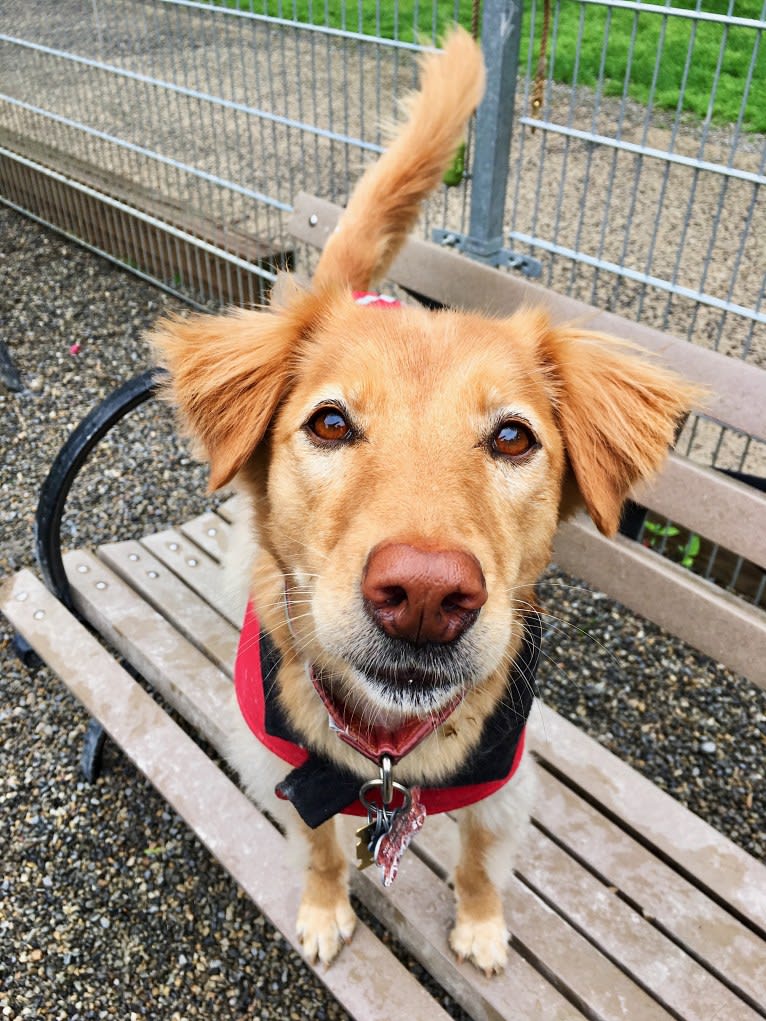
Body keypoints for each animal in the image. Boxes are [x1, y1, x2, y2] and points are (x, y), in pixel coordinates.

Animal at [151, 27, 702, 971]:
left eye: (513, 437)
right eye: (331, 423)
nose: (423, 594)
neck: (387, 754)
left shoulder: (504, 784)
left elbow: (480, 861)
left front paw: (480, 926)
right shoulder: (292, 776)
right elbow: (322, 848)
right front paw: (324, 906)